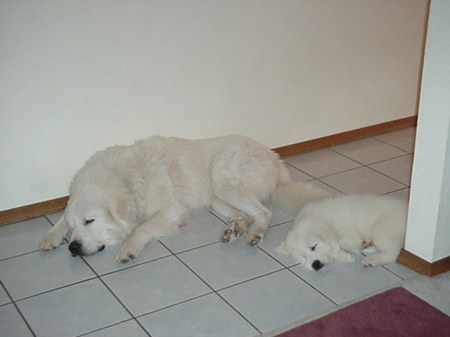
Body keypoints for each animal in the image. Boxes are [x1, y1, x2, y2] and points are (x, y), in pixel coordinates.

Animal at [39, 134, 326, 262]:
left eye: (90, 221)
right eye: (75, 225)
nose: (73, 248)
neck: (125, 180)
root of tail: (275, 159)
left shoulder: (171, 210)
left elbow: (142, 228)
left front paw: (129, 249)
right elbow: (61, 217)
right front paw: (51, 235)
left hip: (225, 182)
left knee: (264, 213)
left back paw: (254, 233)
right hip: (217, 197)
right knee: (248, 213)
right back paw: (234, 229)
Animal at [278, 193, 408, 270]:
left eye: (313, 247)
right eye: (303, 257)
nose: (315, 265)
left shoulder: (349, 235)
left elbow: (336, 247)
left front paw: (345, 254)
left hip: (382, 229)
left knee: (393, 253)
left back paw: (371, 259)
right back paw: (368, 248)